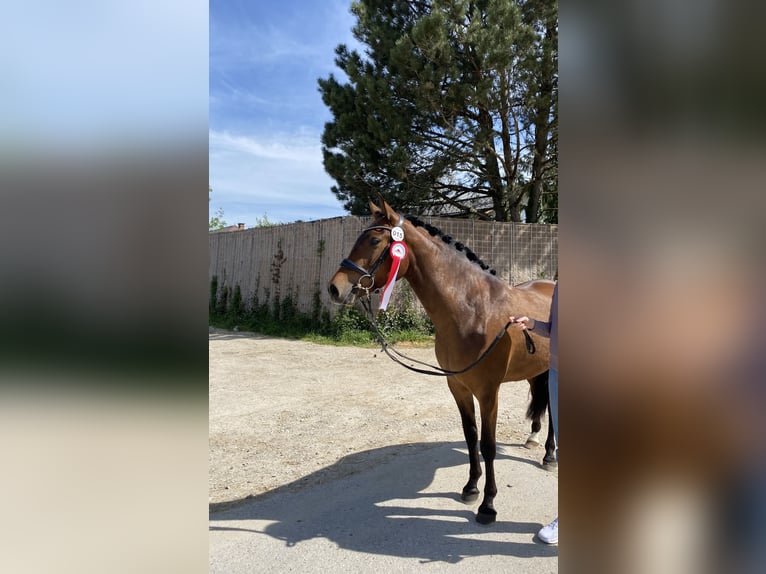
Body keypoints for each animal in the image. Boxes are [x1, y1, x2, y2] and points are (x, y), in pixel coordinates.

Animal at [330, 199, 560, 528]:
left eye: (374, 240)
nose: (335, 288)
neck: (472, 311)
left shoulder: (488, 392)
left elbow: (488, 445)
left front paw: (488, 505)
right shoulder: (458, 385)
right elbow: (471, 437)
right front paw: (471, 488)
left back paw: (550, 457)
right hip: (535, 369)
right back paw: (537, 443)